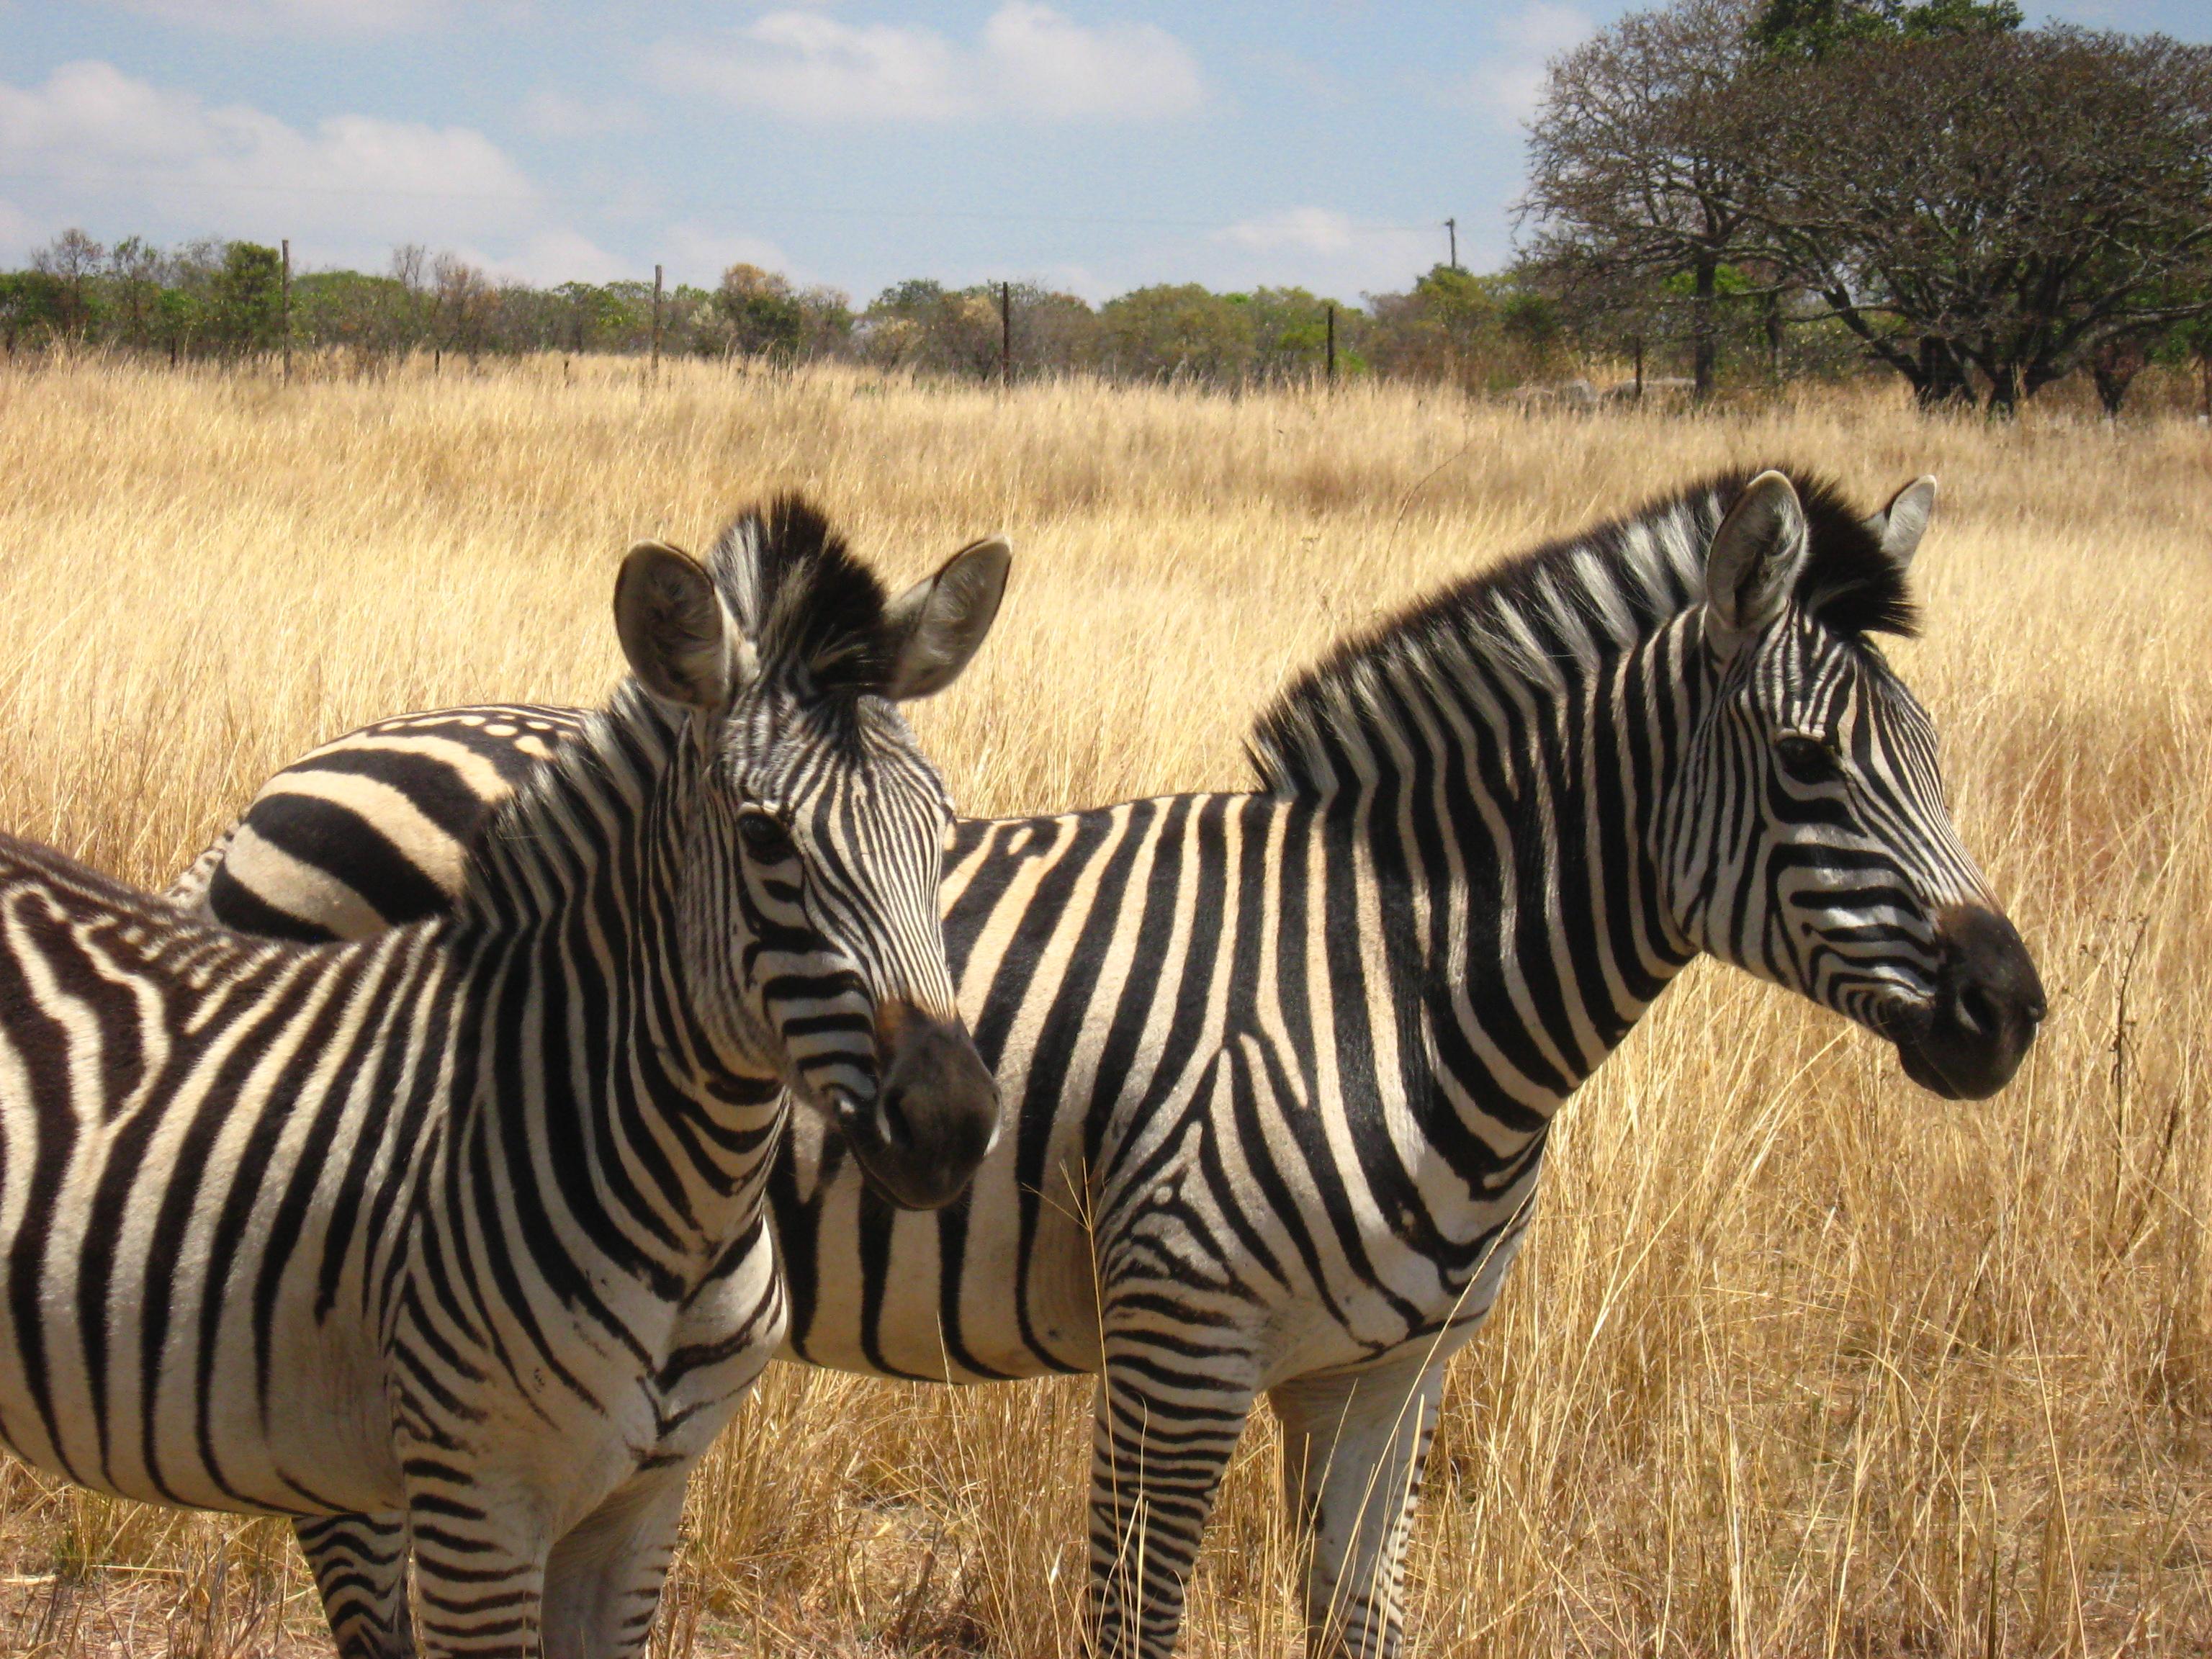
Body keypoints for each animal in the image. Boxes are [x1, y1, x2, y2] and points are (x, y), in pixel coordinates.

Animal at [2, 498, 1012, 1659]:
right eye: (766, 837)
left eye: (940, 825)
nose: (951, 1121)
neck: (690, 1211)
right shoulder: (482, 1504)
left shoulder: (641, 1510)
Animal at [168, 471, 2035, 1659]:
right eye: (1805, 765)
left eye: (1936, 754)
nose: (2009, 1008)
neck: (1394, 978)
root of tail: (290, 778)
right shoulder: (1181, 1343)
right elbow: (1132, 1619)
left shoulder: (1385, 1375)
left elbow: (1362, 1624)